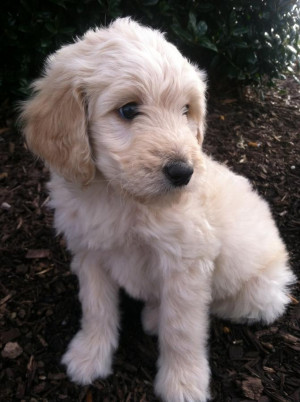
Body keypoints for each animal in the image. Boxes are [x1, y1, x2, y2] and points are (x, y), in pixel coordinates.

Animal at [21, 17, 296, 400]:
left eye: (186, 110)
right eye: (128, 110)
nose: (184, 172)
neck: (120, 197)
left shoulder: (186, 262)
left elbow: (181, 328)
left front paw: (183, 383)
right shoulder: (89, 252)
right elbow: (96, 307)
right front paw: (89, 355)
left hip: (256, 291)